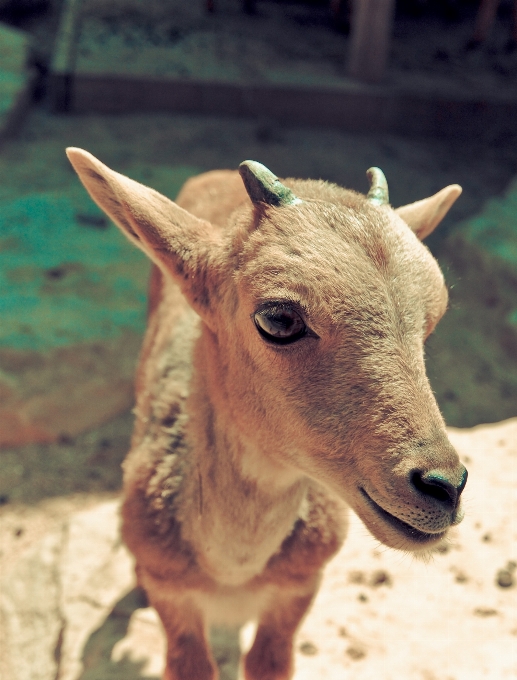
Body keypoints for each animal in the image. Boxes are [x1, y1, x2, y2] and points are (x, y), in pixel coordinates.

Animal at [66, 150, 466, 680]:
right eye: (278, 318)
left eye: (434, 316)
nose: (444, 486)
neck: (232, 571)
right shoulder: (174, 594)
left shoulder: (298, 586)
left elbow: (268, 661)